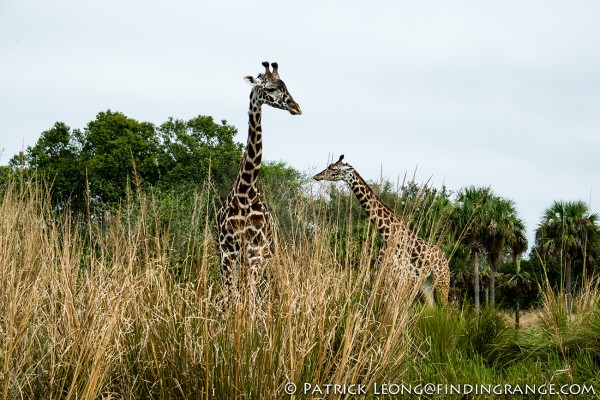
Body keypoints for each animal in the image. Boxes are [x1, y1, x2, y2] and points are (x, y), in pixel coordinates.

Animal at [312, 155, 448, 304]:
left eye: (334, 169)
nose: (317, 176)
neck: (386, 232)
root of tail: (446, 260)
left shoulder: (398, 275)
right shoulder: (384, 271)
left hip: (442, 282)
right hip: (426, 283)